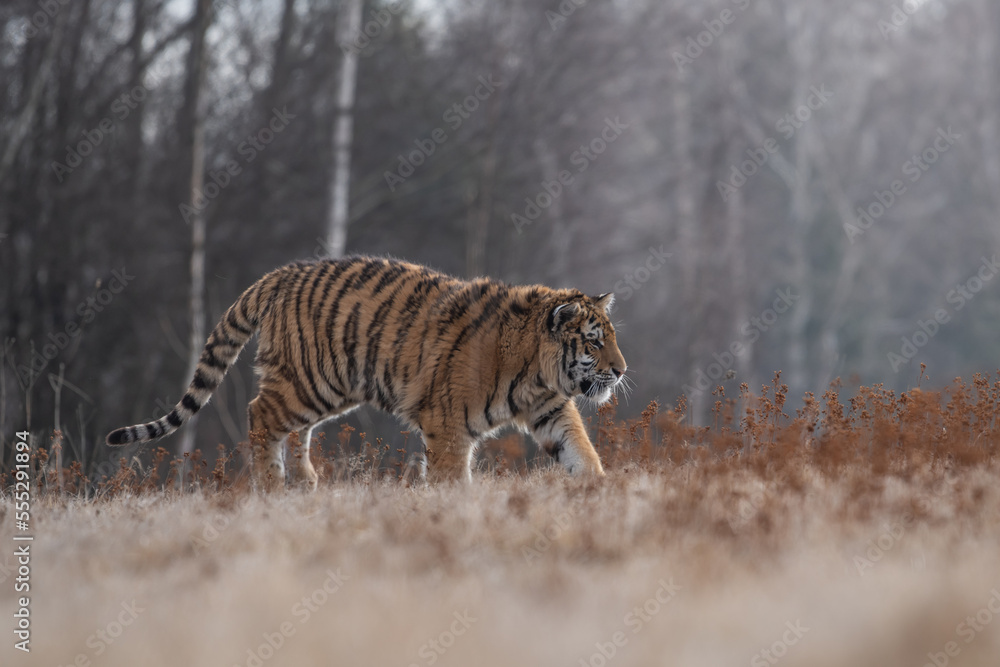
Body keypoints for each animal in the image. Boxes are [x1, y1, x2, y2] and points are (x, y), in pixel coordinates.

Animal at [106, 255, 628, 490]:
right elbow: (451, 477)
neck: (537, 372)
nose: (622, 371)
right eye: (594, 342)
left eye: (610, 337)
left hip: (328, 389)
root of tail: (280, 273)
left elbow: (579, 451)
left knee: (293, 429)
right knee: (260, 414)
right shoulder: (448, 424)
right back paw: (272, 485)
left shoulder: (550, 410)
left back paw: (306, 482)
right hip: (310, 380)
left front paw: (600, 492)